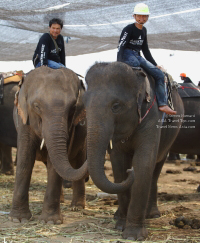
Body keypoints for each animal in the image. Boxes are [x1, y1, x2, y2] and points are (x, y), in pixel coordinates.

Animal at [9, 66, 87, 224]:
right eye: (37, 106)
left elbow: (55, 164)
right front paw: (18, 219)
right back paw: (63, 201)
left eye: (73, 108)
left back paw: (76, 208)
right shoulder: (24, 118)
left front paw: (50, 222)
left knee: (78, 160)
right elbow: (25, 157)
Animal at [83, 61, 184, 240]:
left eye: (116, 106)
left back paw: (152, 215)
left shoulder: (152, 117)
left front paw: (133, 236)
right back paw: (118, 215)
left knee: (156, 168)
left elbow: (143, 162)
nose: (131, 172)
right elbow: (118, 164)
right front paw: (120, 226)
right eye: (84, 106)